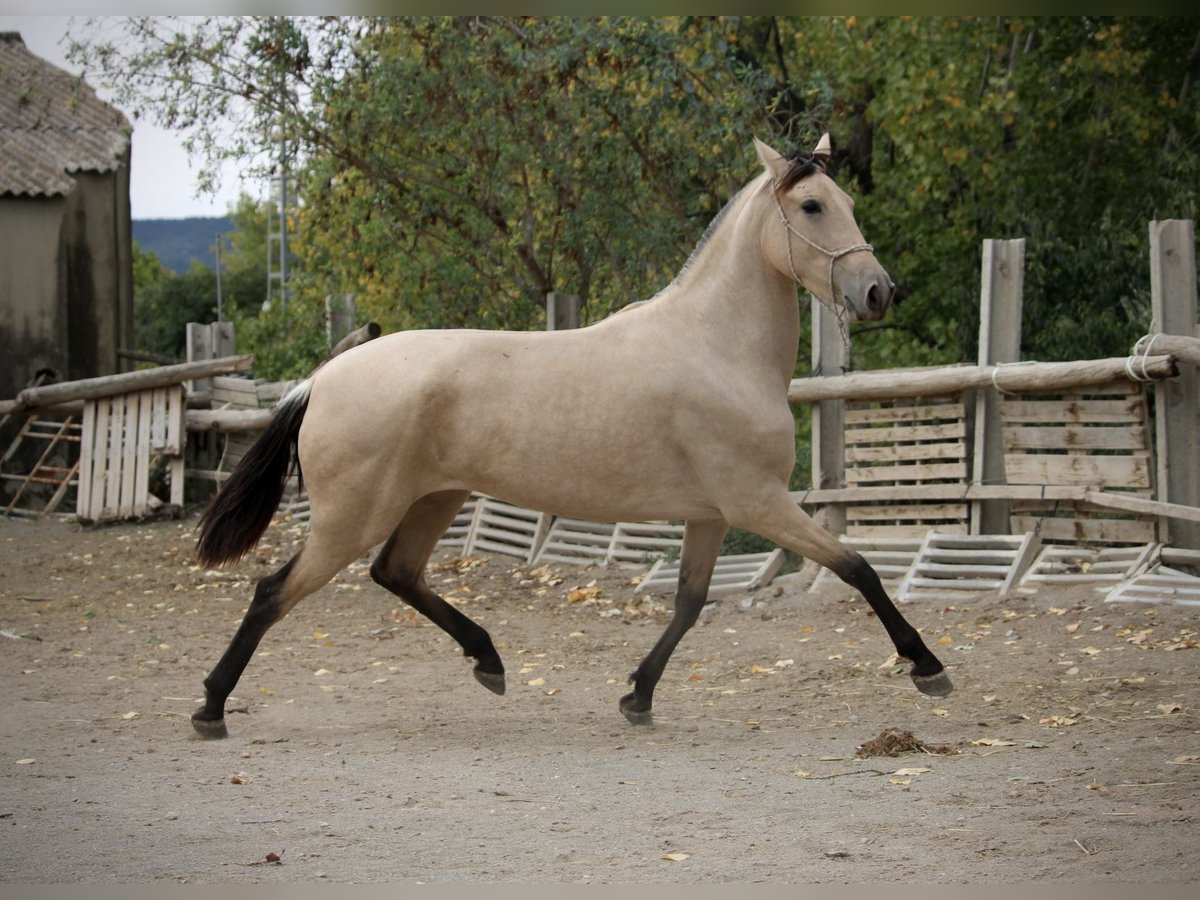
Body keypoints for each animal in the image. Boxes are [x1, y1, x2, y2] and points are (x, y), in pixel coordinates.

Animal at [192, 135, 950, 739]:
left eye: (845, 198)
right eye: (814, 206)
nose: (879, 291)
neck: (716, 348)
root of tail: (322, 378)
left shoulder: (711, 513)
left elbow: (689, 604)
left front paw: (637, 697)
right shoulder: (758, 502)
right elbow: (857, 567)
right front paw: (927, 666)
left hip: (434, 498)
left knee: (396, 573)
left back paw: (489, 661)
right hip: (352, 518)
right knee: (273, 592)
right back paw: (211, 709)